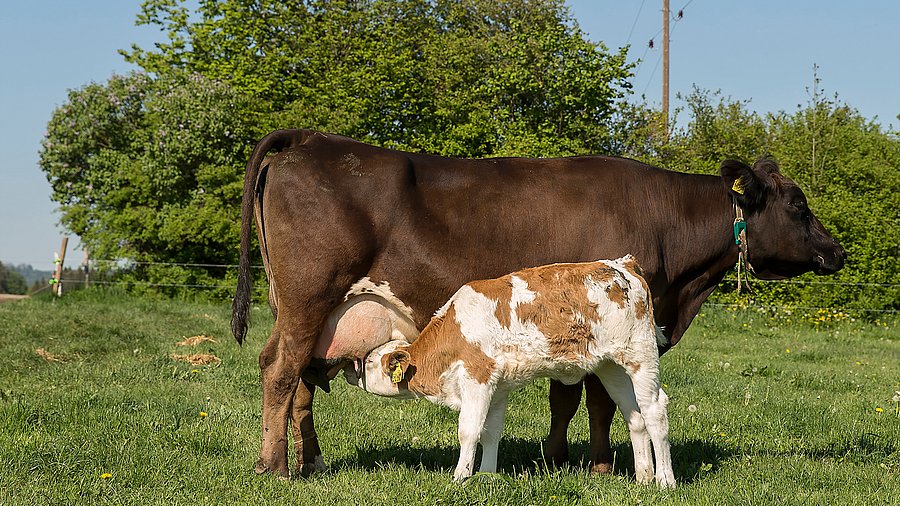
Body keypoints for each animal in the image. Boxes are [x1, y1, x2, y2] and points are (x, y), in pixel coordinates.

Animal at [344, 256, 676, 486]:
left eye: (370, 361)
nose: (349, 370)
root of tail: (623, 264)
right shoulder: (499, 387)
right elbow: (491, 432)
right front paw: (487, 475)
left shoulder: (477, 377)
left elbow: (469, 430)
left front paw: (460, 478)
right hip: (611, 366)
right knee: (634, 415)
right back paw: (644, 477)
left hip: (641, 355)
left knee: (654, 410)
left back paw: (664, 481)